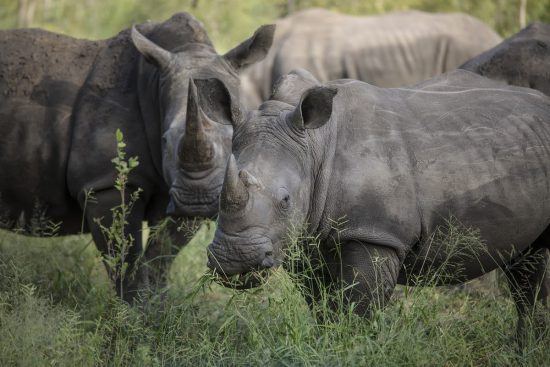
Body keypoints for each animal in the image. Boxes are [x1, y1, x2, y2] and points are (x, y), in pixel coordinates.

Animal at [0, 13, 276, 302]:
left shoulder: (185, 190)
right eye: (164, 140)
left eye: (234, 140)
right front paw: (134, 309)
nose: (198, 201)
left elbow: (162, 254)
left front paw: (158, 304)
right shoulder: (105, 184)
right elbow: (124, 256)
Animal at [208, 69, 550, 340]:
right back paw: (525, 348)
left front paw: (353, 347)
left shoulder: (374, 233)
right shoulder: (302, 238)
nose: (233, 260)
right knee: (528, 266)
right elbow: (321, 306)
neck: (316, 145)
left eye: (285, 200)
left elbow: (360, 309)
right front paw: (329, 344)